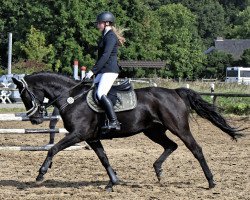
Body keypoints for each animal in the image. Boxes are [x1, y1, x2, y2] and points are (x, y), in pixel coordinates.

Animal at [11, 72, 242, 191]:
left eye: (24, 95)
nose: (35, 119)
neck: (72, 98)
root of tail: (175, 92)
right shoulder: (92, 138)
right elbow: (104, 158)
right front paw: (113, 182)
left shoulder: (78, 135)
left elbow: (53, 149)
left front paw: (41, 173)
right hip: (153, 131)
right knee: (171, 145)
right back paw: (158, 170)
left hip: (178, 127)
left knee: (196, 149)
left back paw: (211, 182)